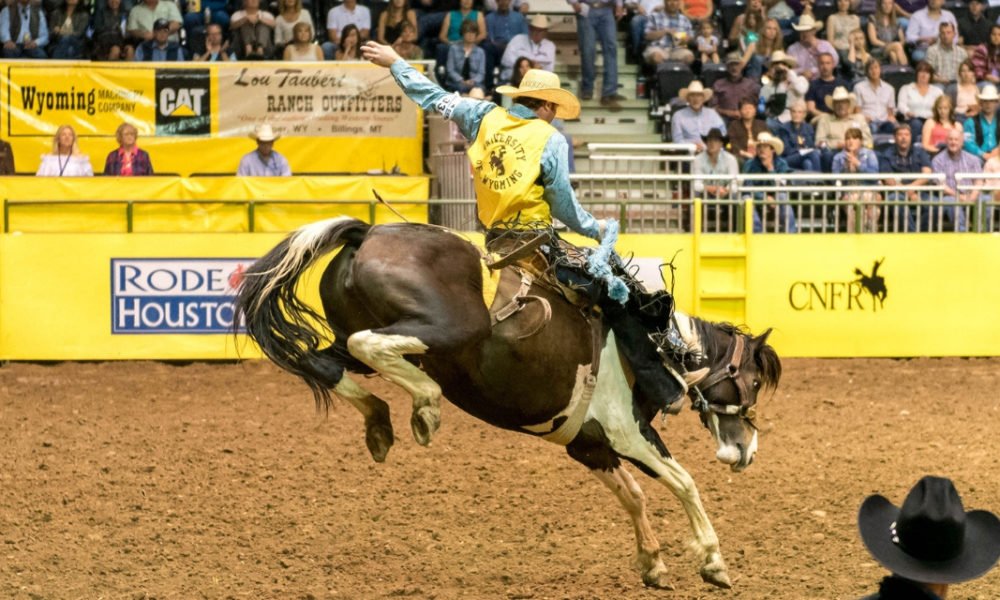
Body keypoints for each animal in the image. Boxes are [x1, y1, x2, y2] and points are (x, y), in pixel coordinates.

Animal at [232, 217, 780, 592]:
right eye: (752, 381)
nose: (747, 451)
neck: (649, 346)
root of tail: (367, 233)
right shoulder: (628, 432)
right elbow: (682, 482)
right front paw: (712, 561)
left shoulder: (588, 444)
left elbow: (633, 496)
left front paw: (653, 564)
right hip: (447, 328)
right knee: (371, 345)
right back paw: (424, 408)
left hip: (349, 337)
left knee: (324, 363)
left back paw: (380, 424)